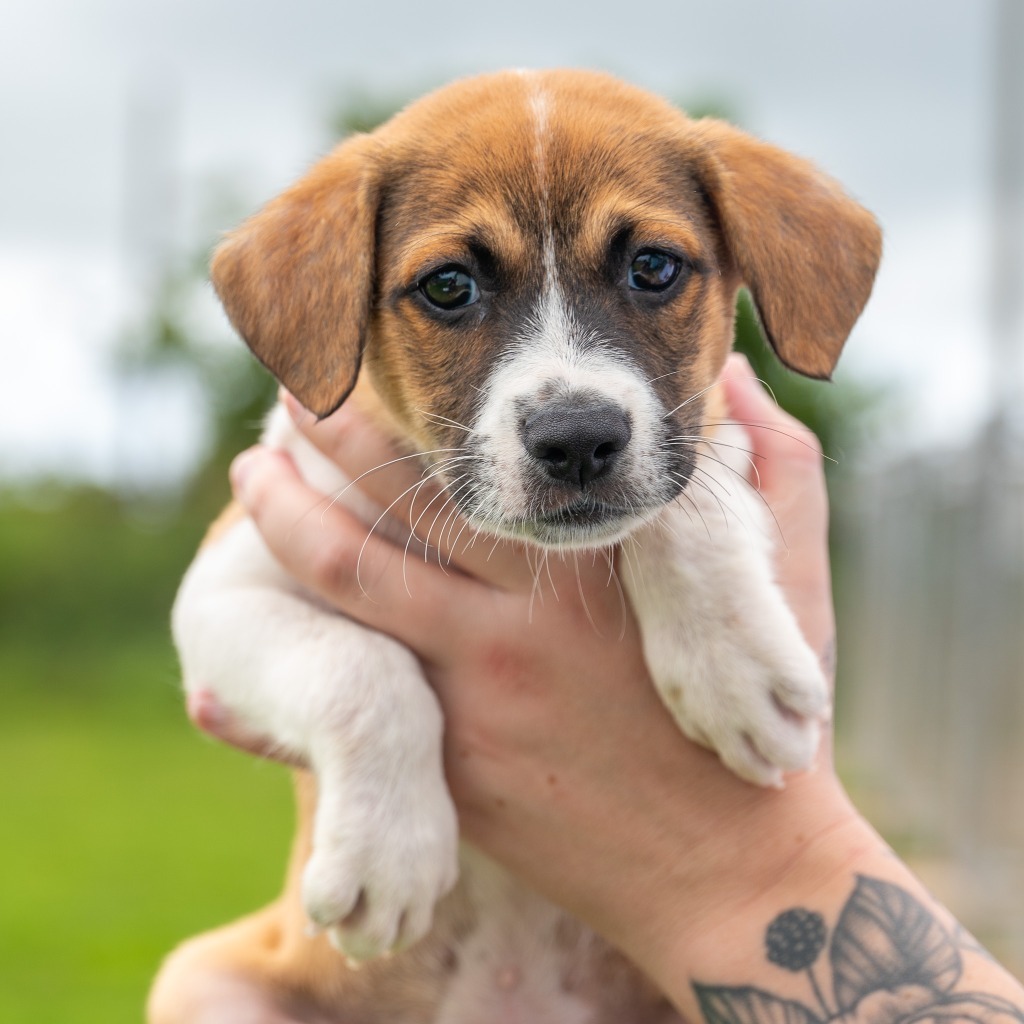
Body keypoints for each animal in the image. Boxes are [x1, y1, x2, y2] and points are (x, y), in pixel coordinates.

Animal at [148, 68, 884, 1019]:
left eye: (654, 268)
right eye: (449, 287)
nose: (578, 439)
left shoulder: (719, 427)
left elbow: (685, 503)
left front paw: (735, 670)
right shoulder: (228, 586)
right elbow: (363, 670)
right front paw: (389, 853)